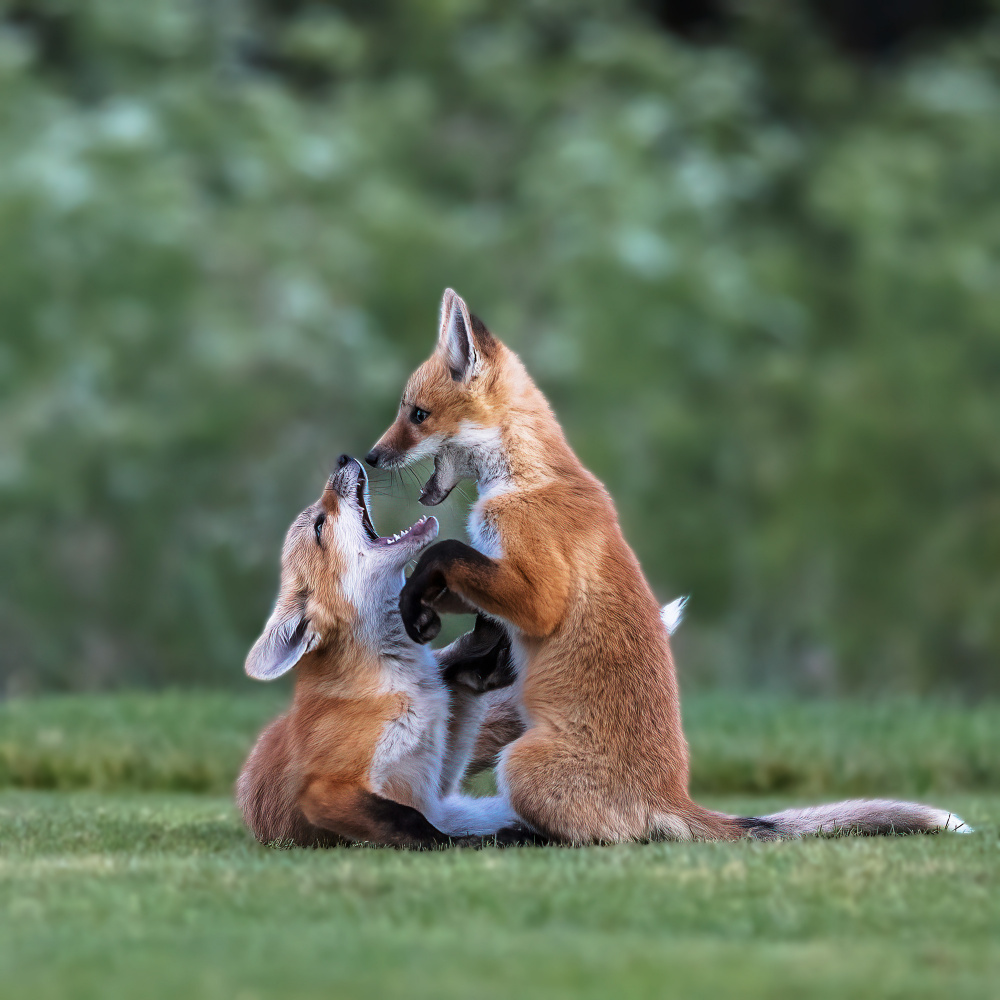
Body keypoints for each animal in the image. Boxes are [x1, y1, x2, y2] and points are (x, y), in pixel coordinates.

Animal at [236, 454, 532, 848]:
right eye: (319, 525)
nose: (342, 458)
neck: (398, 681)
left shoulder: (433, 777)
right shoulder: (327, 790)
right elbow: (411, 821)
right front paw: (461, 845)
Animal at [365, 288, 972, 844]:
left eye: (416, 415)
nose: (369, 458)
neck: (526, 477)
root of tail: (670, 795)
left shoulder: (540, 594)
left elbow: (447, 553)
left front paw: (416, 601)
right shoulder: (497, 569)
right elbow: (447, 575)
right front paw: (421, 608)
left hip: (521, 763)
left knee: (606, 837)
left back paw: (516, 833)